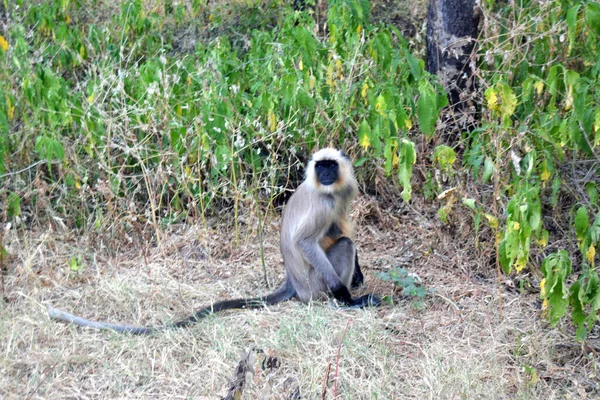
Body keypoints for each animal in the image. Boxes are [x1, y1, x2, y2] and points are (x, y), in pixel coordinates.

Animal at [50, 147, 380, 334]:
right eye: (320, 166)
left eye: (330, 165)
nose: (324, 173)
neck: (327, 189)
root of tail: (293, 284)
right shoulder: (323, 204)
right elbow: (307, 243)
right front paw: (347, 297)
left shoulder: (340, 196)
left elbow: (338, 228)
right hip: (314, 288)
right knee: (343, 247)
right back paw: (343, 301)